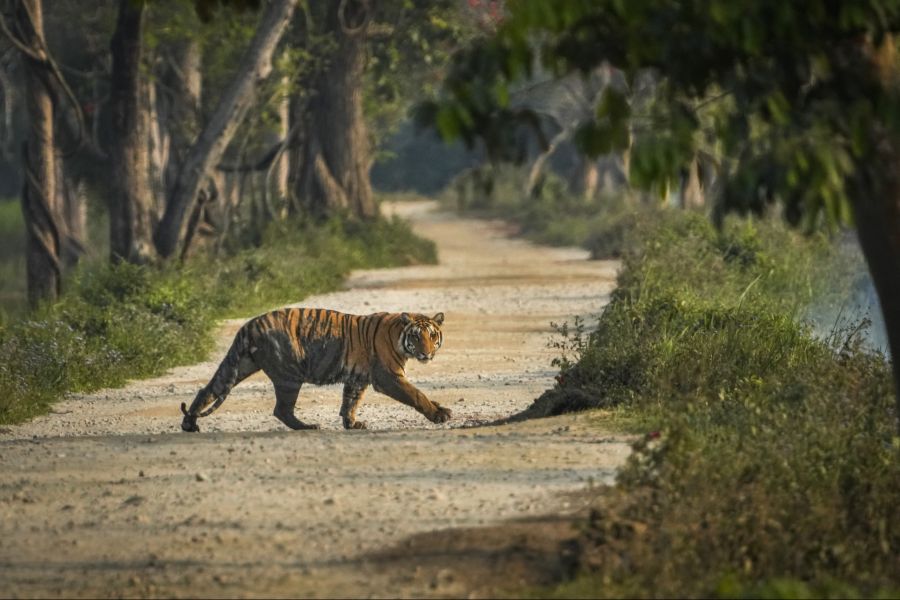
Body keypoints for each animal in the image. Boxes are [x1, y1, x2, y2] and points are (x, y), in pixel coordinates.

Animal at [179, 308, 450, 432]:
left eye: (432, 335)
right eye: (416, 337)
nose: (427, 353)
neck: (398, 335)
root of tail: (249, 326)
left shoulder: (357, 378)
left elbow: (350, 401)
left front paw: (351, 423)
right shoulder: (388, 376)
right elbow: (416, 395)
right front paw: (439, 414)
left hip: (238, 365)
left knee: (208, 389)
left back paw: (189, 423)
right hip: (289, 375)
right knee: (281, 409)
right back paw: (307, 427)